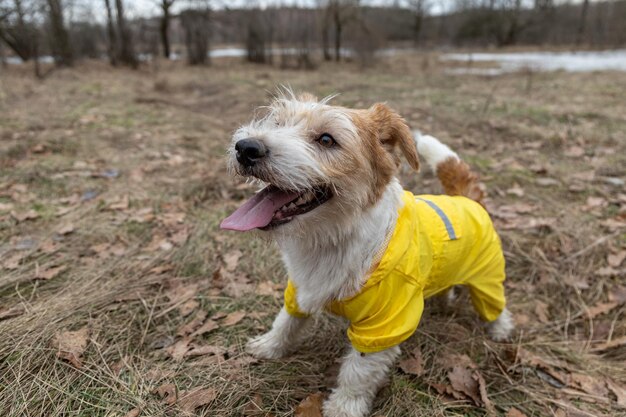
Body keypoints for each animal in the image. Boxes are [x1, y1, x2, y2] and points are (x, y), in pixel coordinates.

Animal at [221, 91, 512, 416]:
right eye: (277, 123)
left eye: (327, 140)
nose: (246, 148)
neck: (334, 237)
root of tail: (467, 199)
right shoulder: (299, 289)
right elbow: (286, 322)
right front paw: (269, 346)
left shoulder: (383, 326)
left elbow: (358, 371)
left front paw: (343, 407)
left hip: (488, 278)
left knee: (496, 306)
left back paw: (500, 330)